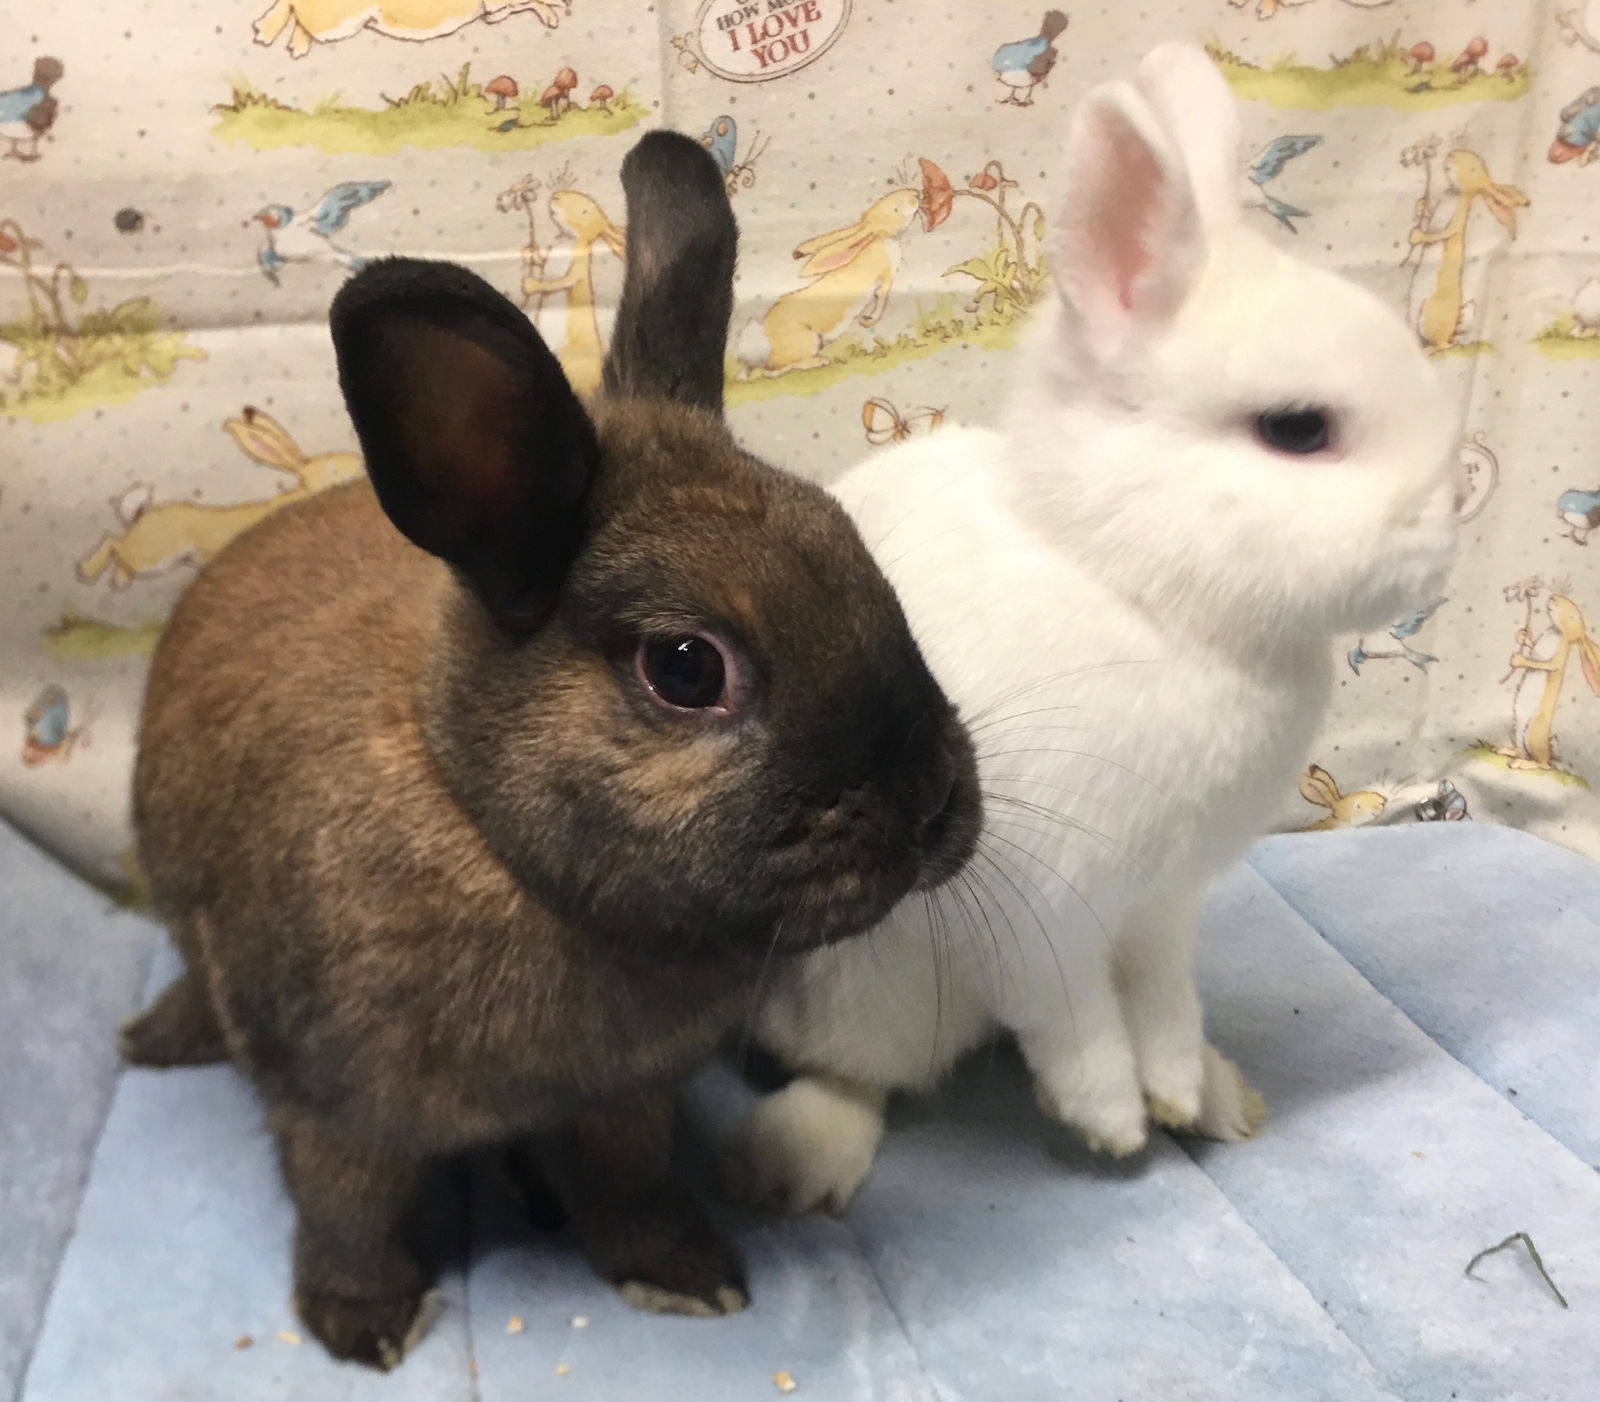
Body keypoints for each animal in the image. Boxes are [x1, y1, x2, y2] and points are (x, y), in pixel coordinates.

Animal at [121, 140, 972, 1369]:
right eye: (685, 666)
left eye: (866, 565)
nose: (937, 807)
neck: (488, 827)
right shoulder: (333, 1111)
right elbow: (346, 1213)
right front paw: (363, 1323)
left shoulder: (626, 1100)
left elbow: (629, 1183)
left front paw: (686, 1273)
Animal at [726, 43, 1465, 1216]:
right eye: (1296, 429)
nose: (1451, 520)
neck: (1128, 586)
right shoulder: (1042, 905)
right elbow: (1071, 1019)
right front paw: (1113, 1122)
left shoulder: (1162, 905)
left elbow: (1161, 1004)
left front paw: (1172, 1091)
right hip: (863, 990)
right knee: (855, 1073)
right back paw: (796, 1158)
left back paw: (1223, 1097)